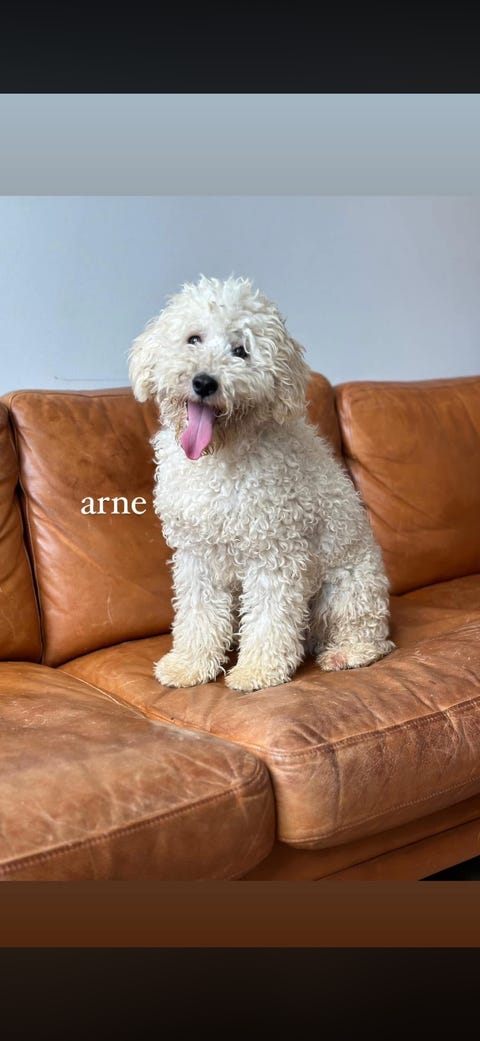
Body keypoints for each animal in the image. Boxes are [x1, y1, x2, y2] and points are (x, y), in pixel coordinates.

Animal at [129, 275, 395, 692]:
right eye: (193, 339)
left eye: (241, 351)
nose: (204, 382)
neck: (220, 456)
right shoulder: (198, 555)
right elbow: (198, 614)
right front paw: (190, 664)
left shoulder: (275, 553)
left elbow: (271, 619)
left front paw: (258, 671)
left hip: (347, 589)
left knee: (369, 637)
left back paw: (345, 654)